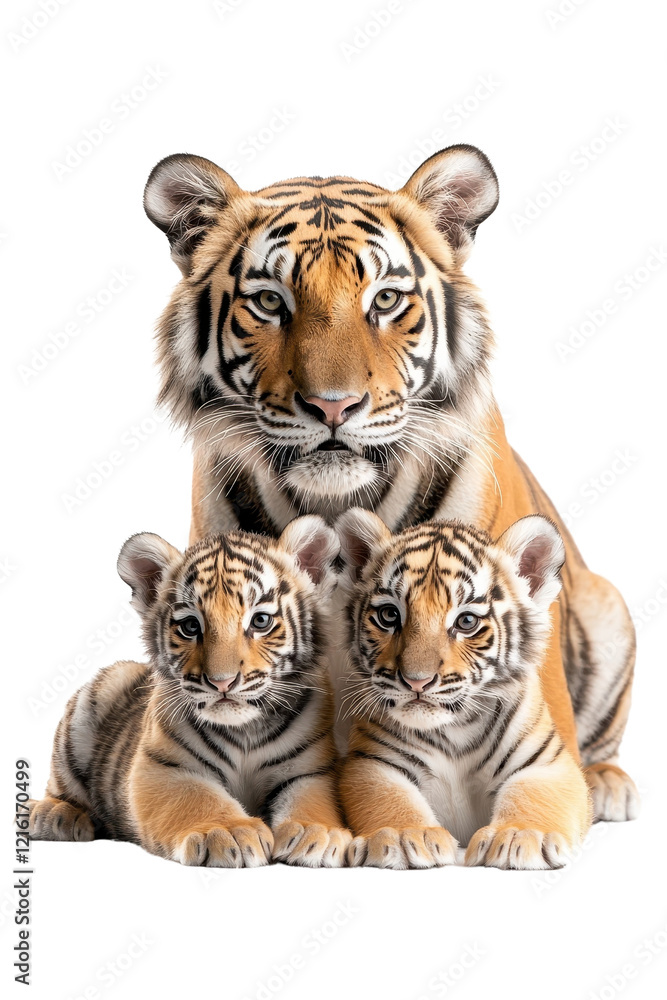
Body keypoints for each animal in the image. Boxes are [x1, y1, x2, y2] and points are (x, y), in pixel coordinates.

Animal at [28, 516, 351, 868]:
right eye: (190, 626)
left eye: (261, 621)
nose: (222, 682)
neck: (245, 730)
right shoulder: (162, 767)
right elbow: (198, 796)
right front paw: (230, 833)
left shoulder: (311, 769)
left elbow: (311, 798)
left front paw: (317, 833)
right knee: (61, 787)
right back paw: (55, 815)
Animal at [334, 508, 592, 870]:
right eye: (388, 615)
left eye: (466, 622)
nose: (416, 680)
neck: (456, 730)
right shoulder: (372, 762)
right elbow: (389, 799)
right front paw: (403, 837)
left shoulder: (546, 763)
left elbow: (534, 797)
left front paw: (519, 837)